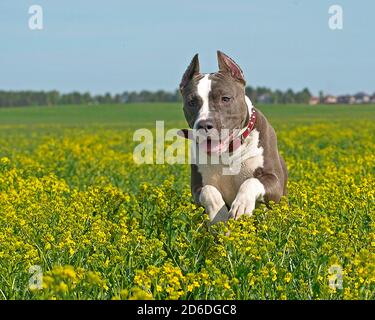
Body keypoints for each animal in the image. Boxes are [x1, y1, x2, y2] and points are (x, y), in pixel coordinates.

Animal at [179, 51, 288, 224]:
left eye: (226, 98)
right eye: (192, 102)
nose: (204, 125)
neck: (228, 153)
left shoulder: (274, 182)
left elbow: (251, 181)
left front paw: (242, 206)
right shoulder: (197, 188)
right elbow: (209, 190)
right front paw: (219, 216)